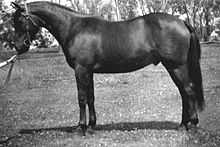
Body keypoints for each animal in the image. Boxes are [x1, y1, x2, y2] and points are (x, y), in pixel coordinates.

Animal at [11, 0, 205, 134]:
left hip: (176, 66)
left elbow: (81, 98)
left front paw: (80, 127)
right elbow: (91, 97)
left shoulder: (81, 70)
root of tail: (181, 22)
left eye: (19, 20)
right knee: (184, 93)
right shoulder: (88, 71)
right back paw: (183, 124)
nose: (18, 47)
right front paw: (91, 126)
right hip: (174, 67)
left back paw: (192, 124)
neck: (73, 27)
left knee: (188, 91)